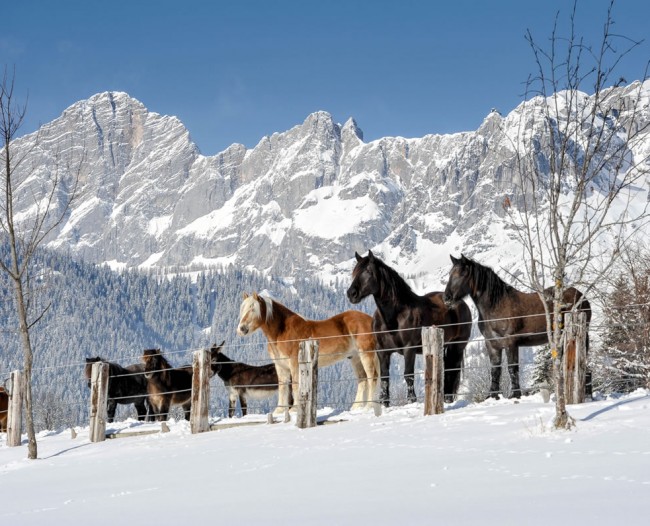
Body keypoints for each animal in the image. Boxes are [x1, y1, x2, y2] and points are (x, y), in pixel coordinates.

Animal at [235, 292, 380, 416]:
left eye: (253, 309)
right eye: (243, 309)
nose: (241, 329)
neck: (282, 331)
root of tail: (370, 319)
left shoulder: (295, 363)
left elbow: (295, 385)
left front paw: (294, 409)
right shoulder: (281, 366)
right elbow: (283, 387)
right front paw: (279, 411)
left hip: (366, 354)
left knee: (371, 377)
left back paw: (369, 406)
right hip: (355, 357)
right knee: (362, 380)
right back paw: (356, 407)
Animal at [344, 252, 470, 408]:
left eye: (368, 271)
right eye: (354, 272)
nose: (351, 294)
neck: (395, 316)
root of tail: (460, 303)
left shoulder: (409, 349)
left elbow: (408, 375)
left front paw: (411, 400)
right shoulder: (382, 351)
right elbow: (385, 377)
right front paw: (384, 403)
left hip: (458, 346)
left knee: (453, 370)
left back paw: (447, 399)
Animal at [440, 256, 588, 400]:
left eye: (462, 273)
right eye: (450, 273)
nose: (446, 298)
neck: (496, 306)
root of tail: (582, 296)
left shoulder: (511, 342)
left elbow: (512, 368)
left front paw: (515, 395)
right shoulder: (492, 344)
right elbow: (495, 370)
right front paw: (492, 396)